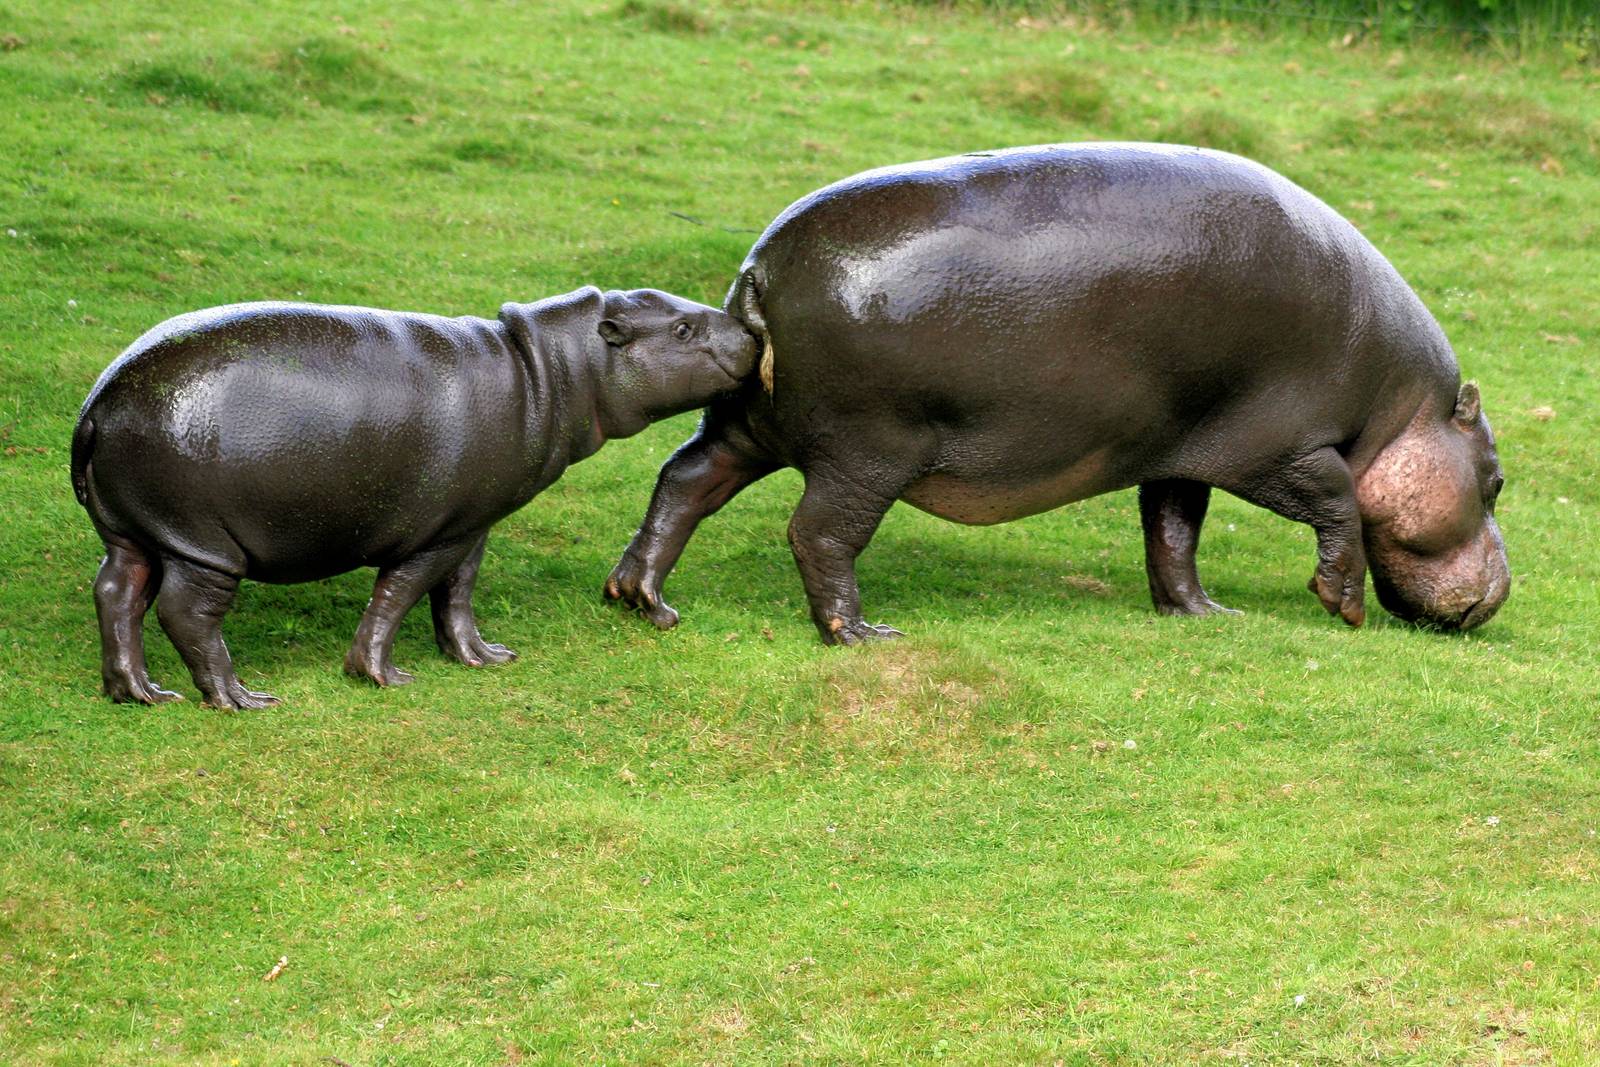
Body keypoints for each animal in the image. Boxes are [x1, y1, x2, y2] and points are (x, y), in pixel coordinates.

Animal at [72, 286, 758, 707]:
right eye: (683, 327)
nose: (751, 331)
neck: (551, 370)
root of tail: (98, 401)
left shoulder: (474, 521)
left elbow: (457, 593)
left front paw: (485, 658)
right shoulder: (437, 530)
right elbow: (402, 592)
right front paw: (382, 677)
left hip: (136, 532)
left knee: (116, 595)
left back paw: (139, 694)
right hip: (203, 543)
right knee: (185, 613)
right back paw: (242, 700)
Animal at [605, 143, 1510, 643]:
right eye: (1498, 481)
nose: (1505, 592)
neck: (1402, 412)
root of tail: (758, 271)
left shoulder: (1181, 446)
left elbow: (1173, 535)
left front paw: (1204, 615)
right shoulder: (1282, 445)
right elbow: (1340, 503)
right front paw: (1341, 608)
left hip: (750, 422)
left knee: (686, 480)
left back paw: (640, 598)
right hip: (868, 450)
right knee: (818, 532)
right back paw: (861, 635)